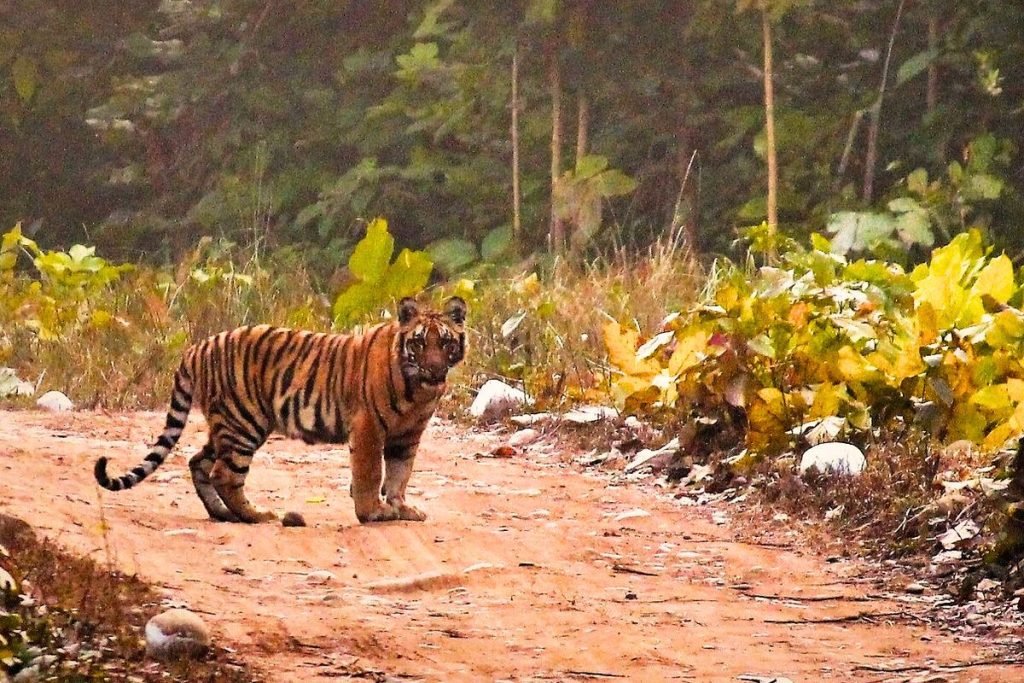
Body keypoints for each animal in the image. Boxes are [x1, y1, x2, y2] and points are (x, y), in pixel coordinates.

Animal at [94, 296, 467, 524]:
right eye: (419, 342)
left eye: (445, 342)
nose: (435, 369)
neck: (418, 390)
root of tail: (196, 347)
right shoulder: (368, 427)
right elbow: (371, 473)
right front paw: (372, 513)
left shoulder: (408, 435)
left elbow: (400, 474)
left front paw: (401, 508)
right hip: (245, 421)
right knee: (225, 474)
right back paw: (257, 515)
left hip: (226, 424)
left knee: (199, 462)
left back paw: (222, 514)